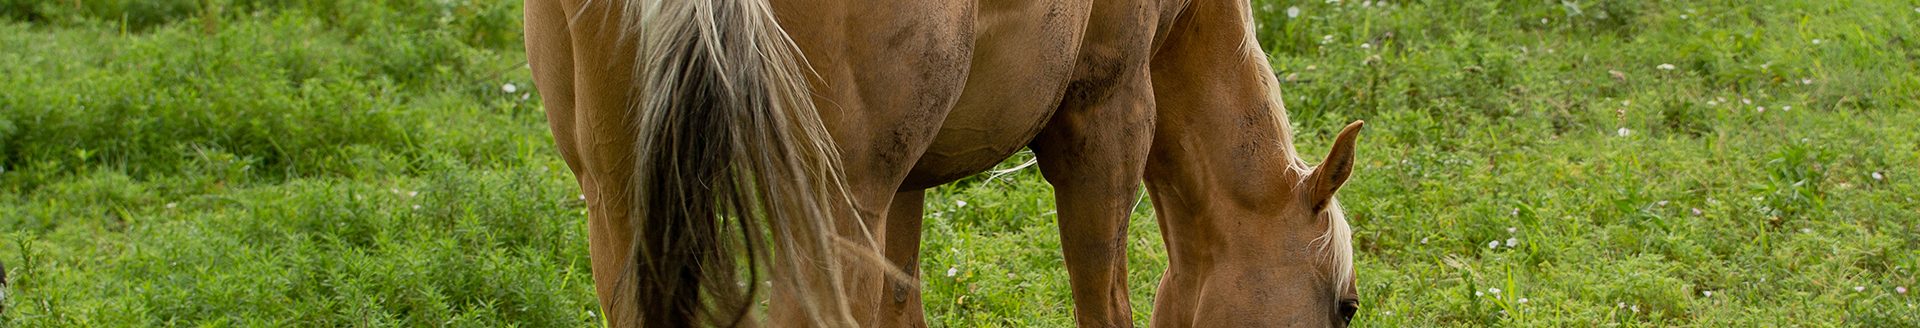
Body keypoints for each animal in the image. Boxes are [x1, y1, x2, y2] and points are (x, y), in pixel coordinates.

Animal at [526, 0, 1367, 326]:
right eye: (1347, 307)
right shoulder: (1108, 119)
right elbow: (1104, 298)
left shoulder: (906, 184)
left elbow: (902, 305)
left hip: (622, 209)